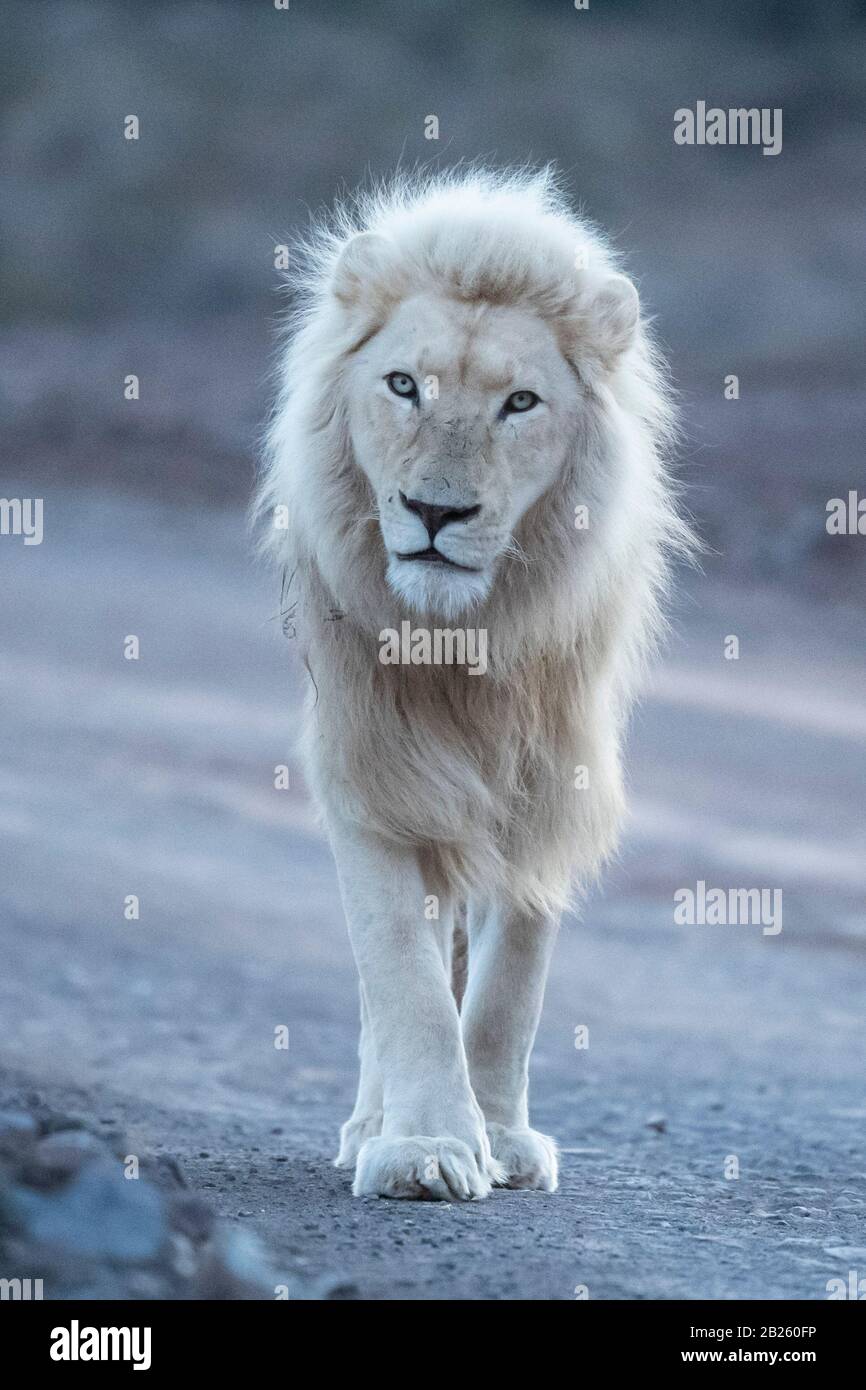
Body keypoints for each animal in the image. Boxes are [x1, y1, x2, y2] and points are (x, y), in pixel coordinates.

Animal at [255, 169, 690, 1200]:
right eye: (403, 385)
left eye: (520, 403)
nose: (434, 511)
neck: (463, 642)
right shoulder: (373, 770)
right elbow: (405, 976)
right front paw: (422, 1146)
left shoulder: (552, 780)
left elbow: (507, 991)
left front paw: (498, 1132)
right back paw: (371, 1123)